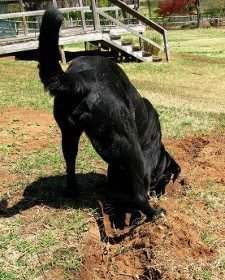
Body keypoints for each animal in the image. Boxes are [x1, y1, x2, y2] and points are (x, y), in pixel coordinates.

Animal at [37, 7, 180, 220]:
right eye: (167, 178)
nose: (161, 193)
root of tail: (82, 79)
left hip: (69, 134)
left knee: (70, 165)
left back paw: (72, 191)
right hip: (129, 144)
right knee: (138, 195)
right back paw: (152, 213)